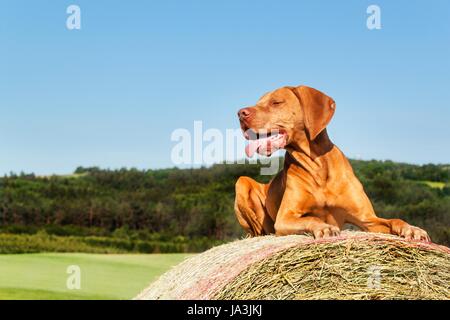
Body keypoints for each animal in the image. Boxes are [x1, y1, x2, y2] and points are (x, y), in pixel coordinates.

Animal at [234, 85, 430, 240]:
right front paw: (324, 227)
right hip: (242, 183)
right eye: (258, 102)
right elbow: (312, 218)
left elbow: (394, 219)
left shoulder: (368, 219)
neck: (318, 166)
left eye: (276, 102)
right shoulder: (285, 218)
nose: (240, 113)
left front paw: (412, 229)